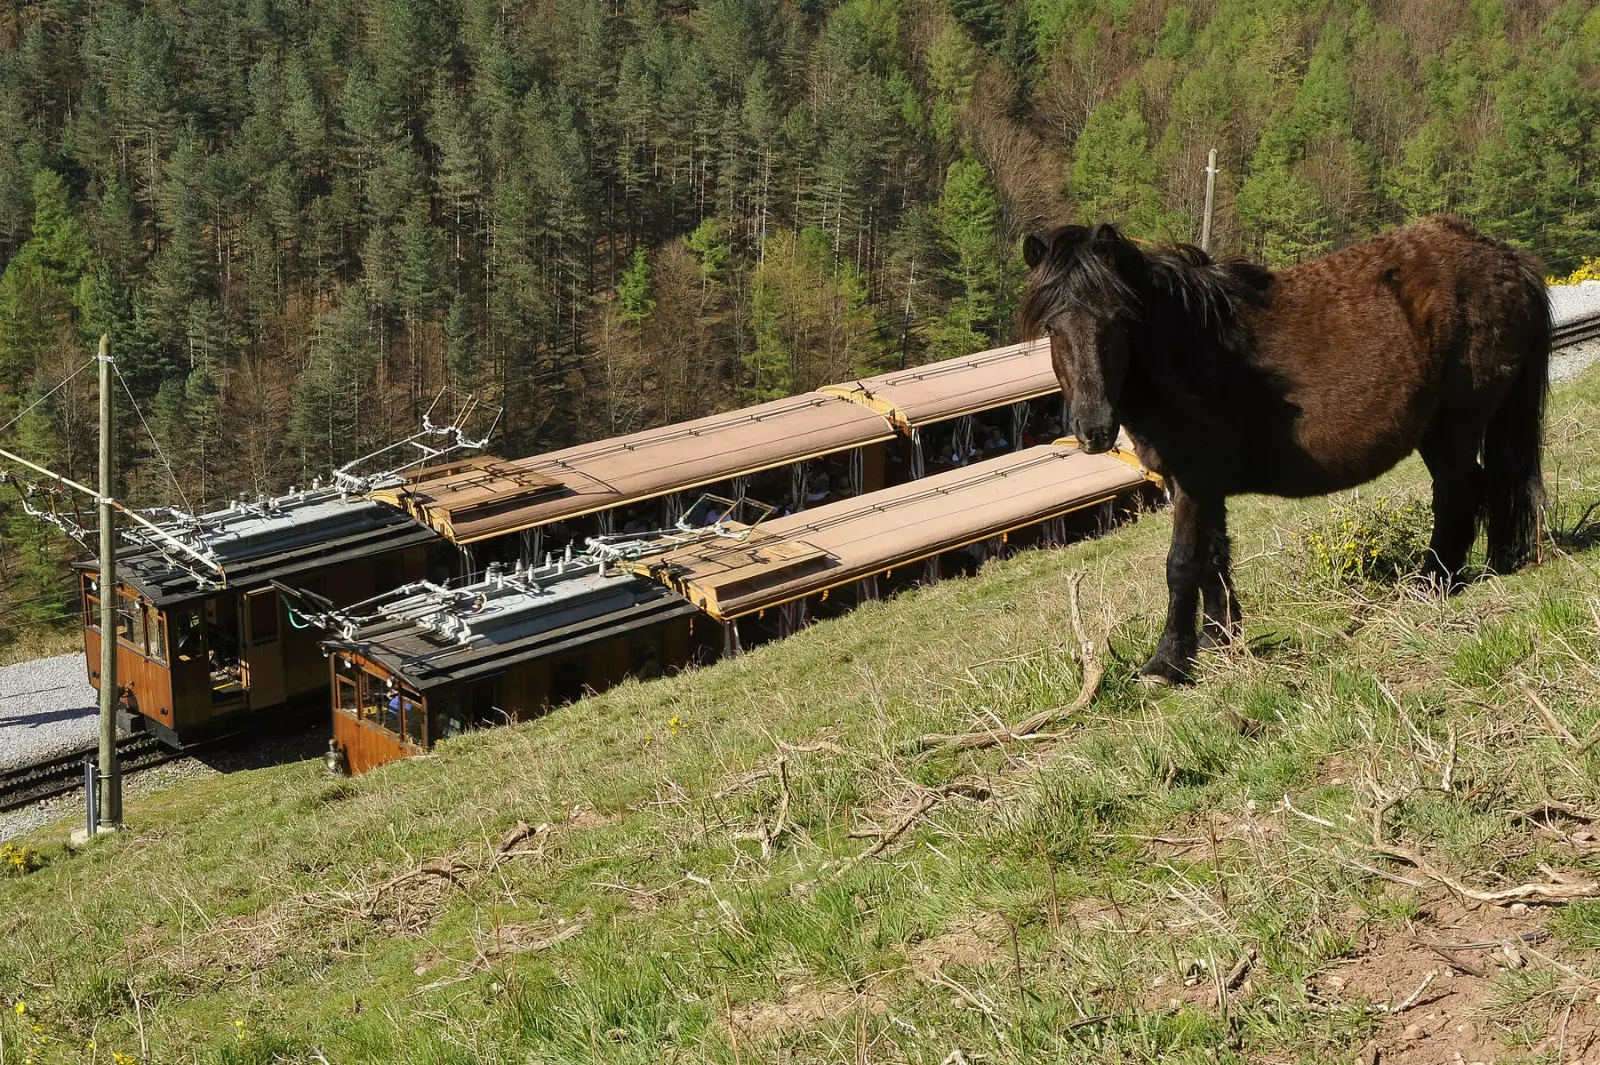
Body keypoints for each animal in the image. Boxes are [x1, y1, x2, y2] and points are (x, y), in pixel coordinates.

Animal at [1024, 214, 1548, 681]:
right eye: (1052, 328)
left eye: (1117, 321)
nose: (1094, 429)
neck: (1187, 350)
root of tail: (1507, 259)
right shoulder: (1202, 486)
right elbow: (1214, 560)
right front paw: (1219, 640)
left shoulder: (1194, 481)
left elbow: (1182, 565)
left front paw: (1167, 663)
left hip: (1453, 428)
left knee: (1458, 496)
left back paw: (1431, 583)